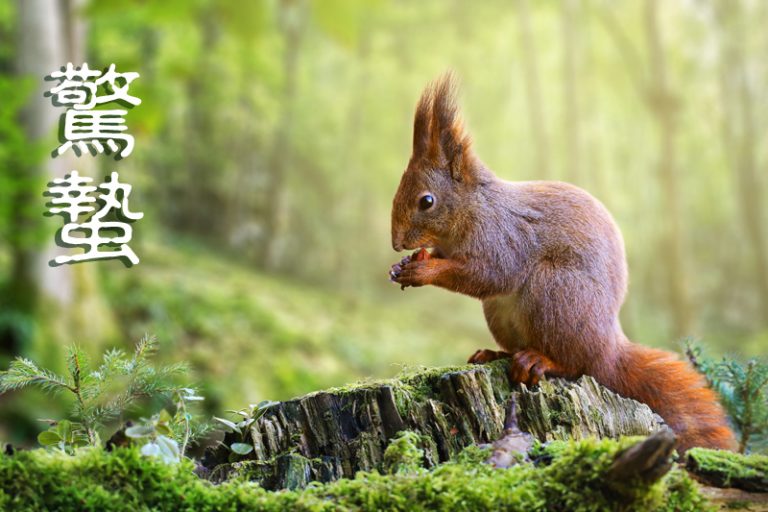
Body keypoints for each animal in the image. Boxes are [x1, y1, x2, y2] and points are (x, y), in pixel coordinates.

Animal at [390, 73, 736, 452]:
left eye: (427, 201)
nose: (396, 243)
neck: (472, 209)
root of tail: (609, 350)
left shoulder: (503, 238)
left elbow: (490, 275)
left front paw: (423, 270)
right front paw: (405, 265)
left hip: (556, 292)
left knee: (575, 364)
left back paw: (540, 360)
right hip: (503, 312)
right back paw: (496, 355)